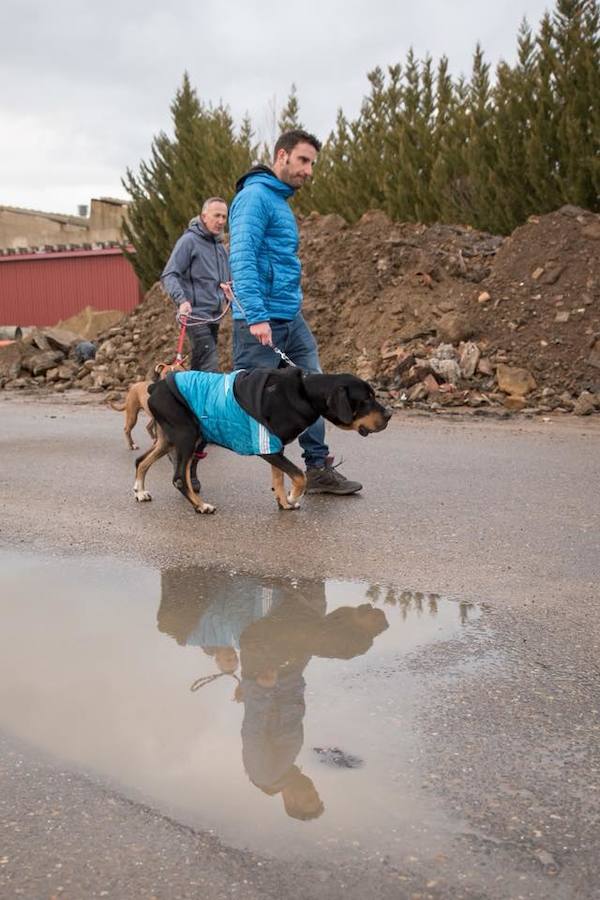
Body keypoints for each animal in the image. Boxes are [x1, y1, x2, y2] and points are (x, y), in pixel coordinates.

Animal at [133, 366, 392, 516]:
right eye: (366, 400)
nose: (389, 414)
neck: (305, 393)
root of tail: (155, 386)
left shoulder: (275, 447)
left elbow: (279, 478)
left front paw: (284, 502)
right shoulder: (268, 447)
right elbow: (298, 475)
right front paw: (293, 496)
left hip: (170, 439)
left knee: (141, 461)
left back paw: (140, 491)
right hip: (188, 435)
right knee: (179, 477)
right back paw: (201, 506)